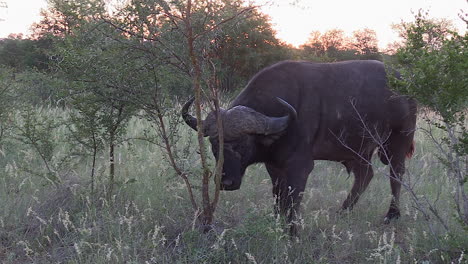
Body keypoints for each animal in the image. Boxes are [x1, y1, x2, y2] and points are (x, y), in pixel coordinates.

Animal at [182, 60, 416, 234]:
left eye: (242, 144)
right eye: (214, 145)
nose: (226, 182)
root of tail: (406, 89)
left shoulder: (300, 167)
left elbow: (293, 201)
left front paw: (292, 232)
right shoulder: (274, 166)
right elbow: (279, 198)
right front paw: (277, 223)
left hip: (397, 143)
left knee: (396, 174)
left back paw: (392, 215)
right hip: (359, 151)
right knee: (365, 175)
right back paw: (343, 211)